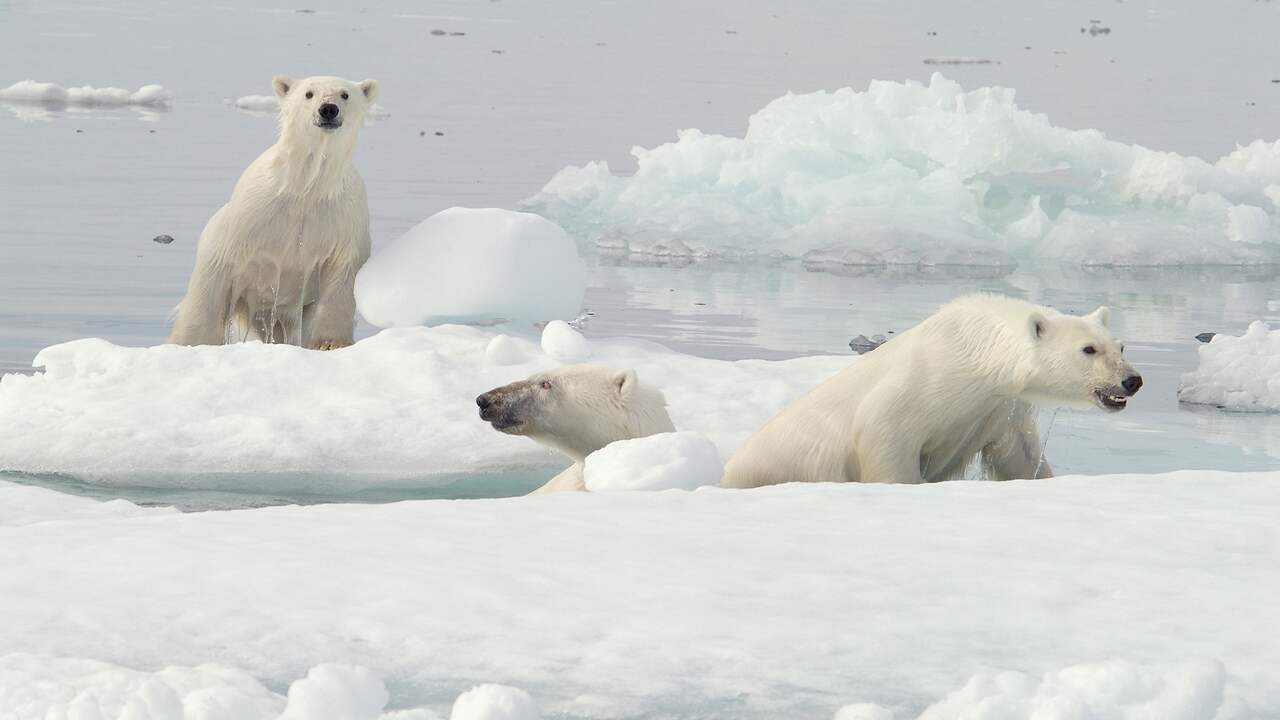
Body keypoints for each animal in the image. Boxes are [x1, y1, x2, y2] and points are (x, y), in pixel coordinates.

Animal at [163, 73, 378, 348]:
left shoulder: (343, 218)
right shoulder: (250, 217)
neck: (306, 187)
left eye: (345, 94)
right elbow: (220, 271)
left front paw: (330, 343)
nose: (328, 109)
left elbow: (343, 276)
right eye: (309, 93)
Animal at [716, 293, 1146, 486]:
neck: (975, 353)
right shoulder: (920, 384)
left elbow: (1019, 456)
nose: (1132, 381)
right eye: (1088, 349)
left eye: (1120, 346)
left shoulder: (999, 408)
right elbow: (884, 435)